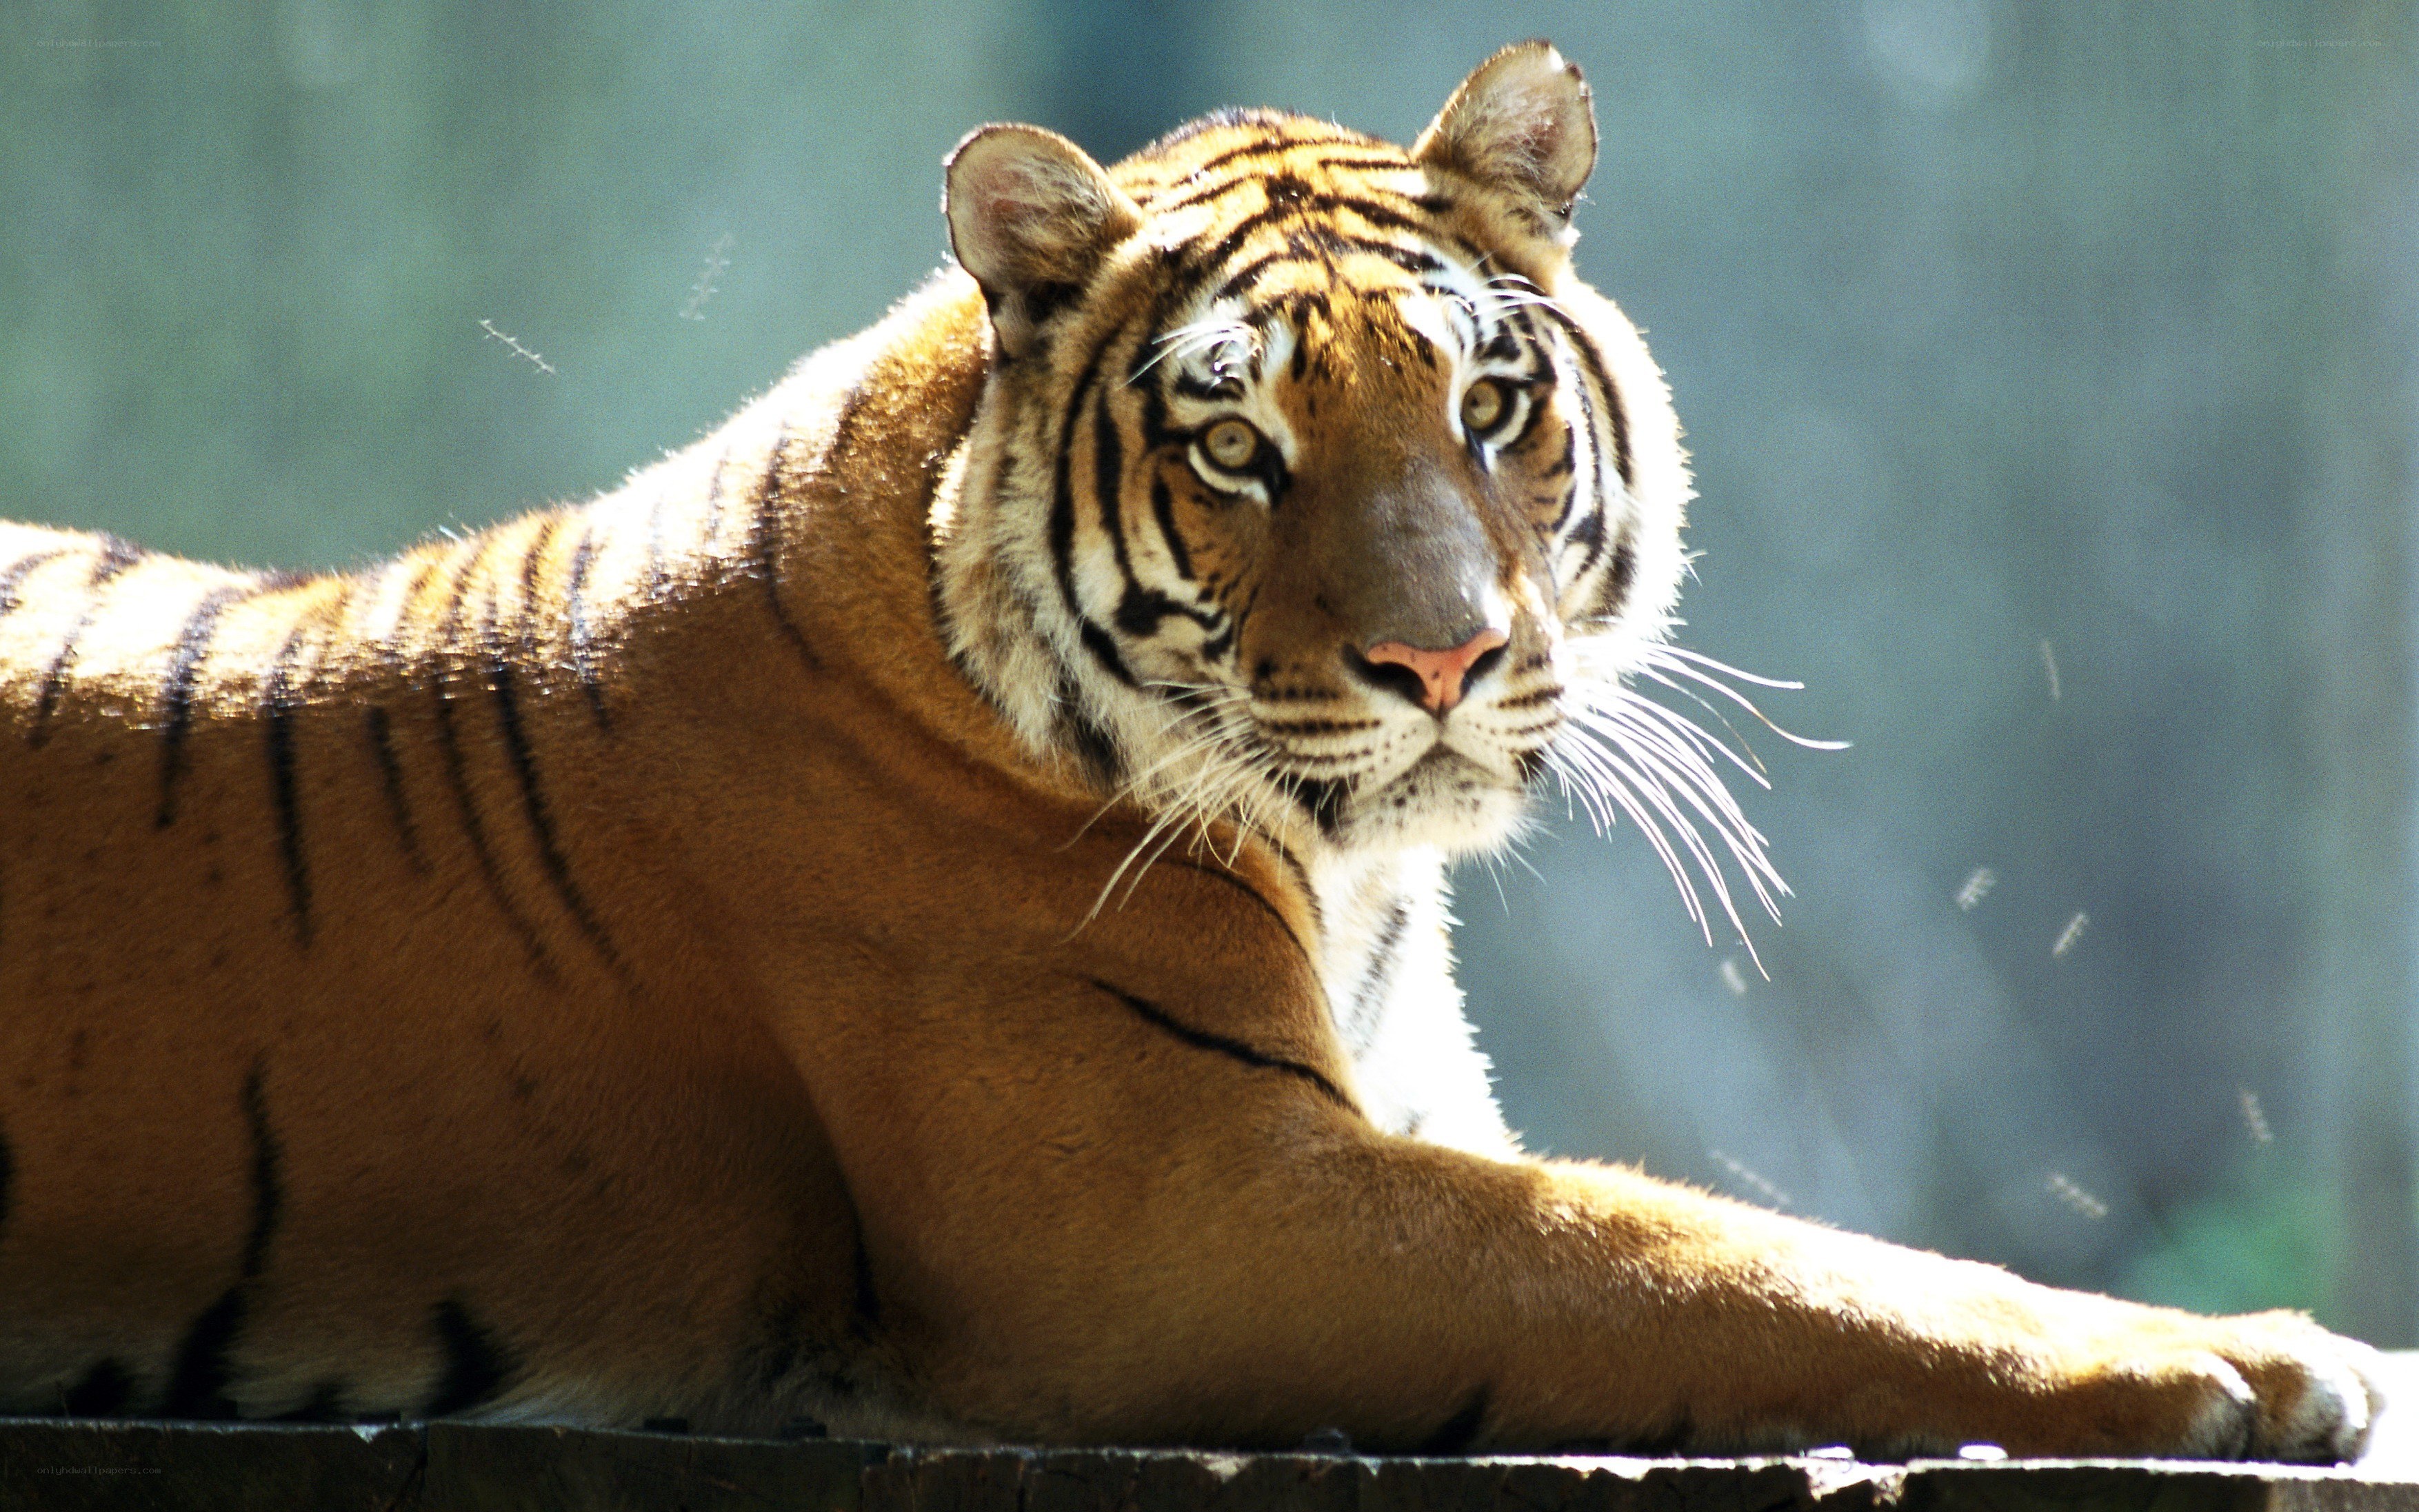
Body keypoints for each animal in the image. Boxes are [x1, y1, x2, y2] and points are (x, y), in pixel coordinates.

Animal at [0, 42, 2382, 1458]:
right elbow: (1720, 1259)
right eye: (1237, 448)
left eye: (1488, 405)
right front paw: (2244, 1358)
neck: (1355, 875)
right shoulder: (1191, 1203)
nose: (1441, 659)